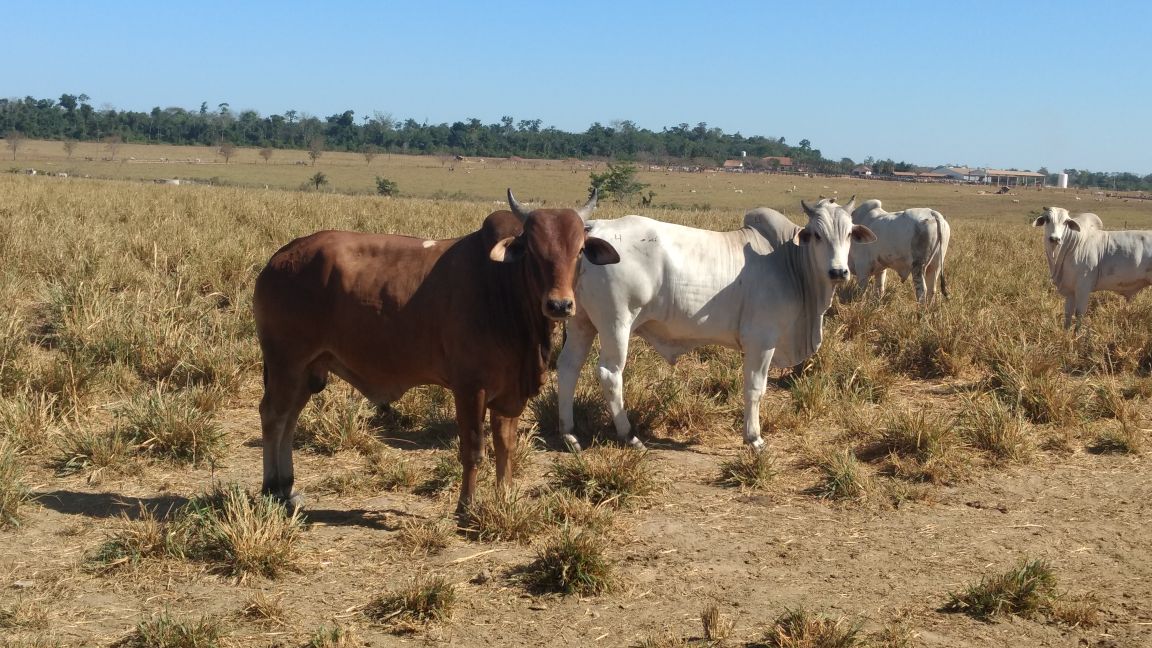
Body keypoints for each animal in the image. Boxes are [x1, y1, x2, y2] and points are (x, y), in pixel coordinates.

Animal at [253, 186, 622, 509]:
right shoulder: (470, 387)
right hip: (287, 363)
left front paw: (504, 498)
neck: (503, 286)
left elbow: (506, 446)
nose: (560, 305)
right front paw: (466, 505)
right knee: (274, 416)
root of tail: (280, 258)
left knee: (289, 419)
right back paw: (272, 488)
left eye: (578, 251)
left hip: (307, 369)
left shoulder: (511, 392)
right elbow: (473, 448)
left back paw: (287, 487)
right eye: (533, 251)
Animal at [555, 196, 870, 449]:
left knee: (568, 366)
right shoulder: (761, 341)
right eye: (816, 235)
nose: (838, 272)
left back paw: (569, 433)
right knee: (610, 374)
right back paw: (629, 435)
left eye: (849, 234)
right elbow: (755, 388)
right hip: (616, 323)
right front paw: (754, 438)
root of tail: (593, 229)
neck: (788, 261)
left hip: (581, 321)